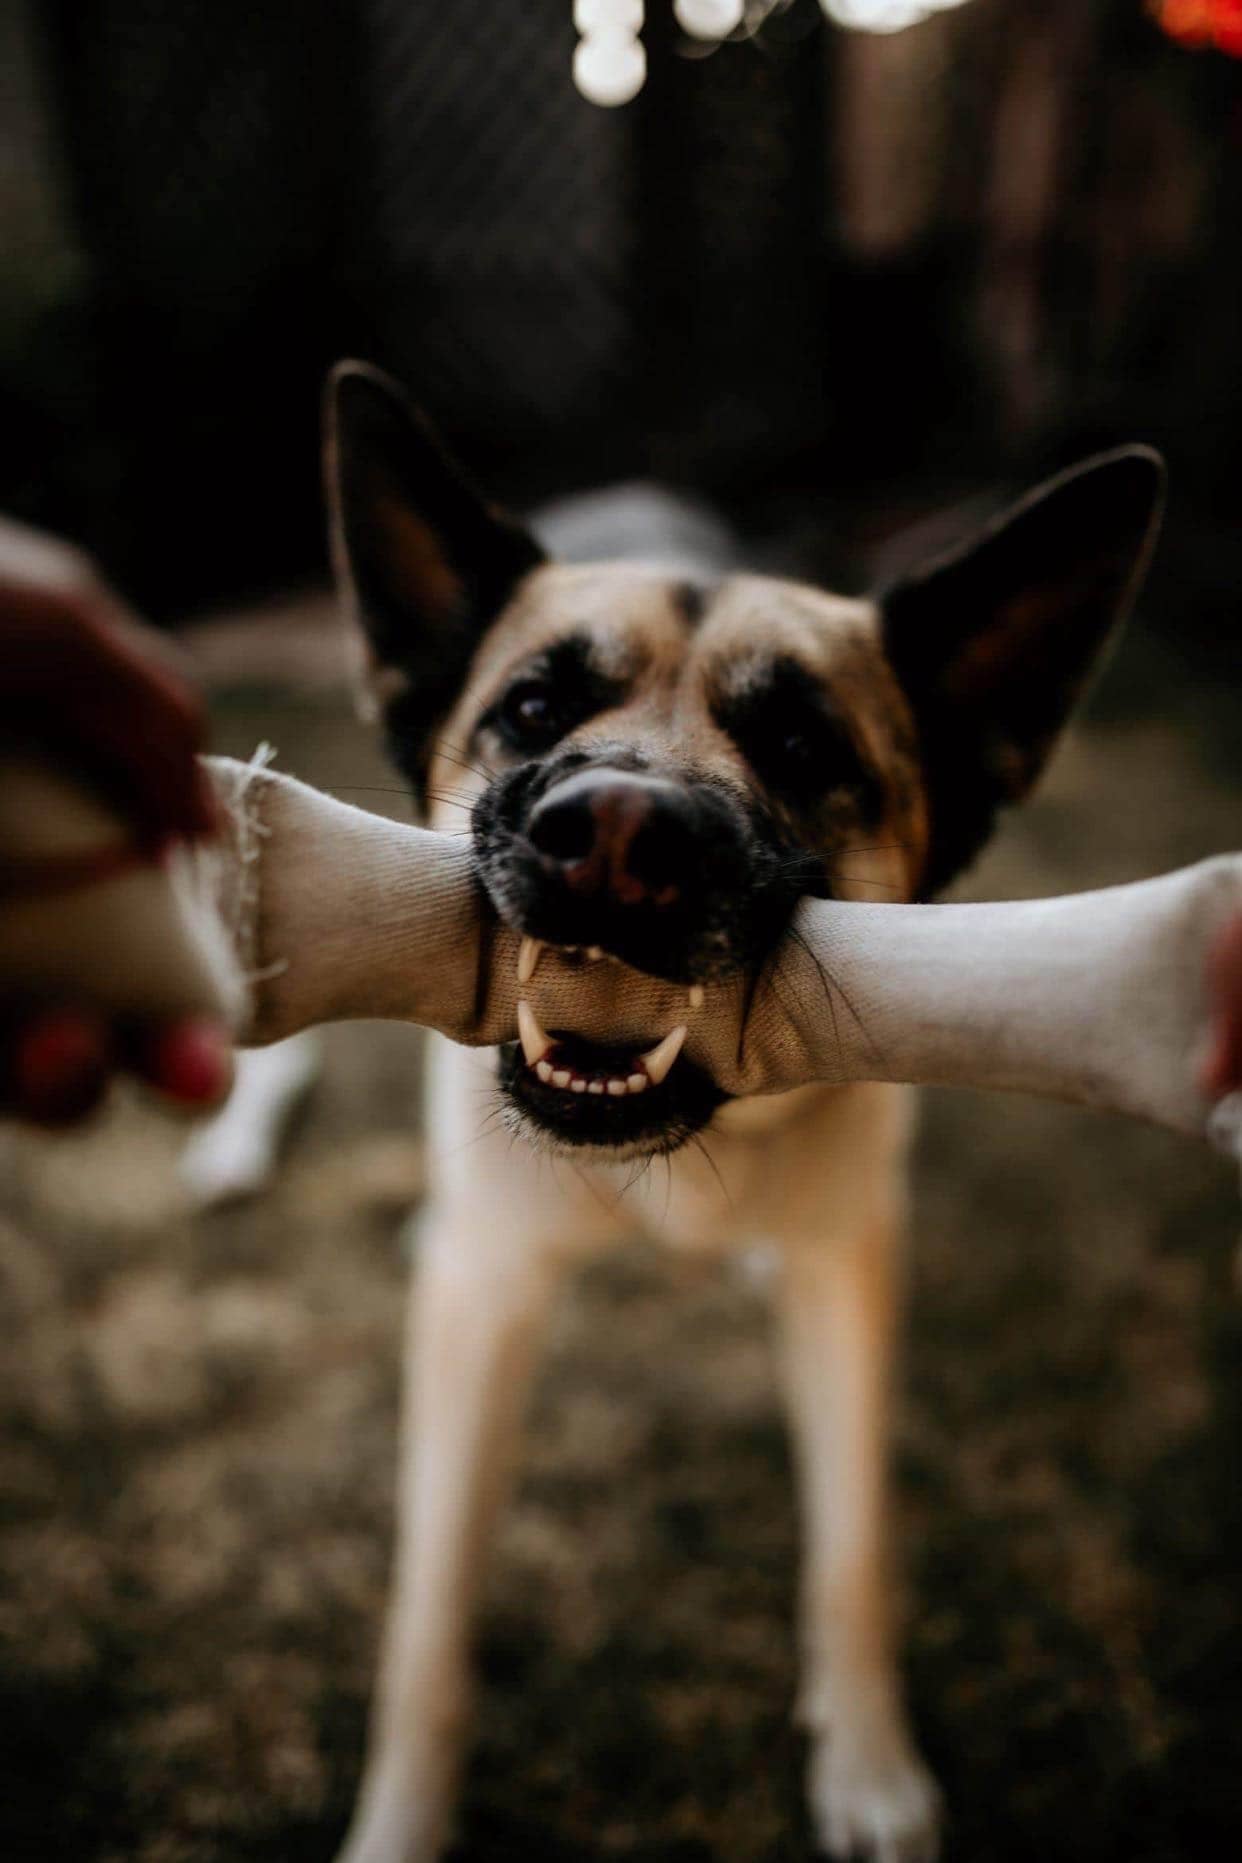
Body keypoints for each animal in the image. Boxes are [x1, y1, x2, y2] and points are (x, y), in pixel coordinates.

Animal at [320, 363, 1169, 1863]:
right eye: (532, 710)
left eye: (797, 741)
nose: (611, 836)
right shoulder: (485, 1301)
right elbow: (429, 1612)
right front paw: (402, 1821)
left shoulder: (846, 1271)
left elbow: (853, 1546)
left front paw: (868, 1764)